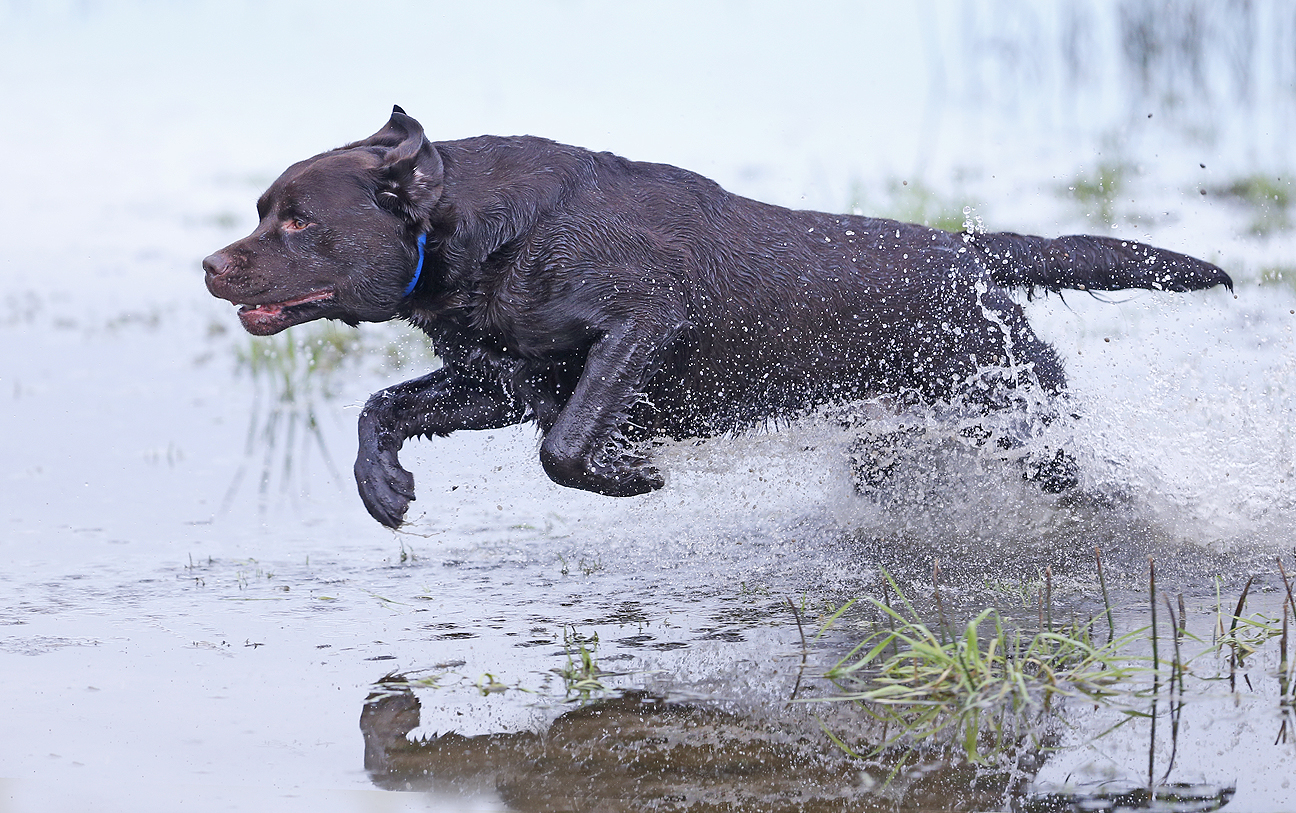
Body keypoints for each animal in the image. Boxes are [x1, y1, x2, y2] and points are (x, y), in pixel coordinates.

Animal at [204, 106, 1233, 529]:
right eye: (262, 210)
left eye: (296, 221)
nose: (211, 265)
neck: (478, 233)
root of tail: (970, 253)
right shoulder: (503, 379)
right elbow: (381, 404)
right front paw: (381, 485)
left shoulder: (645, 320)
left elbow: (565, 447)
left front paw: (630, 475)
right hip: (902, 441)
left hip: (1023, 420)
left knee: (1095, 485)